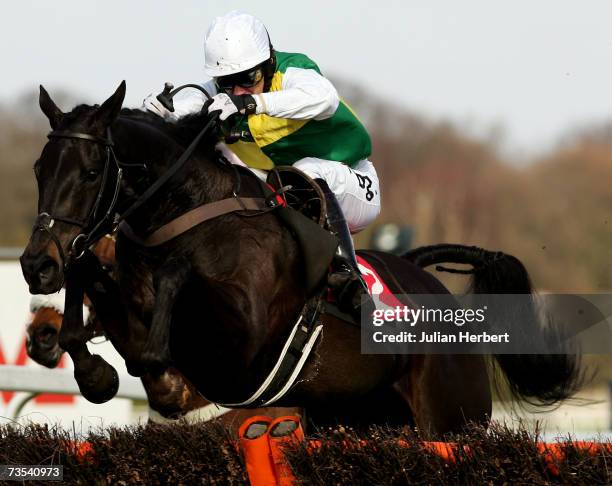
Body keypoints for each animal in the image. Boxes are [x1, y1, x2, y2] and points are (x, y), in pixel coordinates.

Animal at [19, 81, 584, 434]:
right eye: (39, 168)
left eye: (92, 172)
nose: (35, 264)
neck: (193, 210)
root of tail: (424, 277)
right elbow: (98, 290)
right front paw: (93, 370)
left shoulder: (239, 349)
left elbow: (176, 289)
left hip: (452, 419)